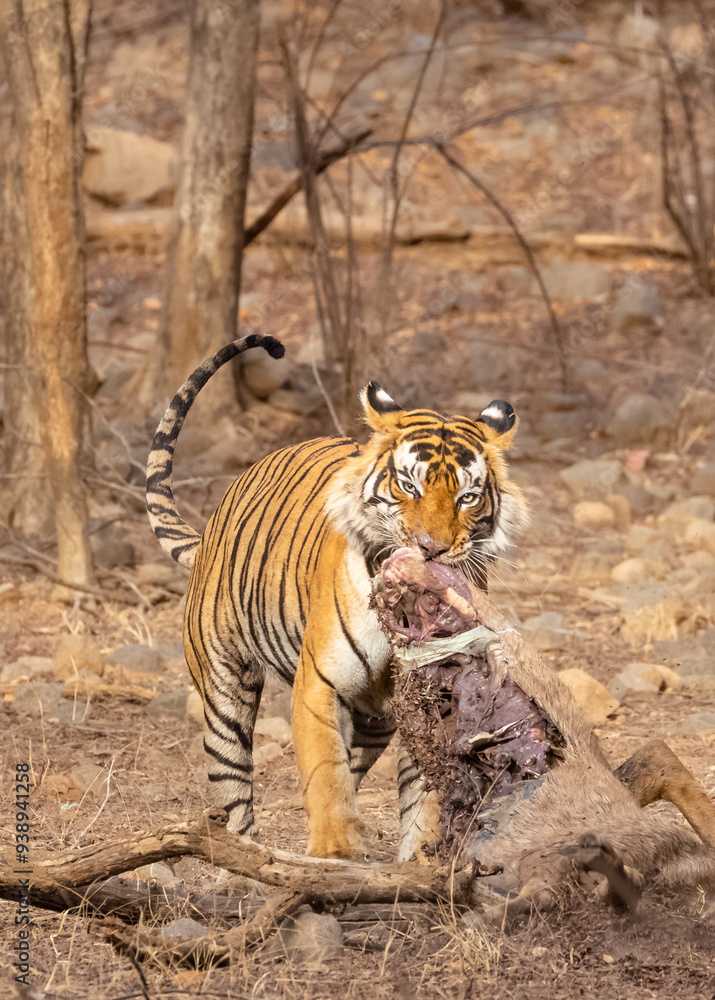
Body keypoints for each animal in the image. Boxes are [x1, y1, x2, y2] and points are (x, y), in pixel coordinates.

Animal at [146, 332, 527, 859]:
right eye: (408, 486)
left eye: (467, 497)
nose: (430, 549)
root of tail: (209, 533)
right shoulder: (320, 682)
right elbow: (326, 773)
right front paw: (337, 852)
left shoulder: (434, 698)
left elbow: (424, 792)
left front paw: (418, 862)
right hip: (224, 685)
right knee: (233, 792)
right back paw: (246, 858)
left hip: (375, 719)